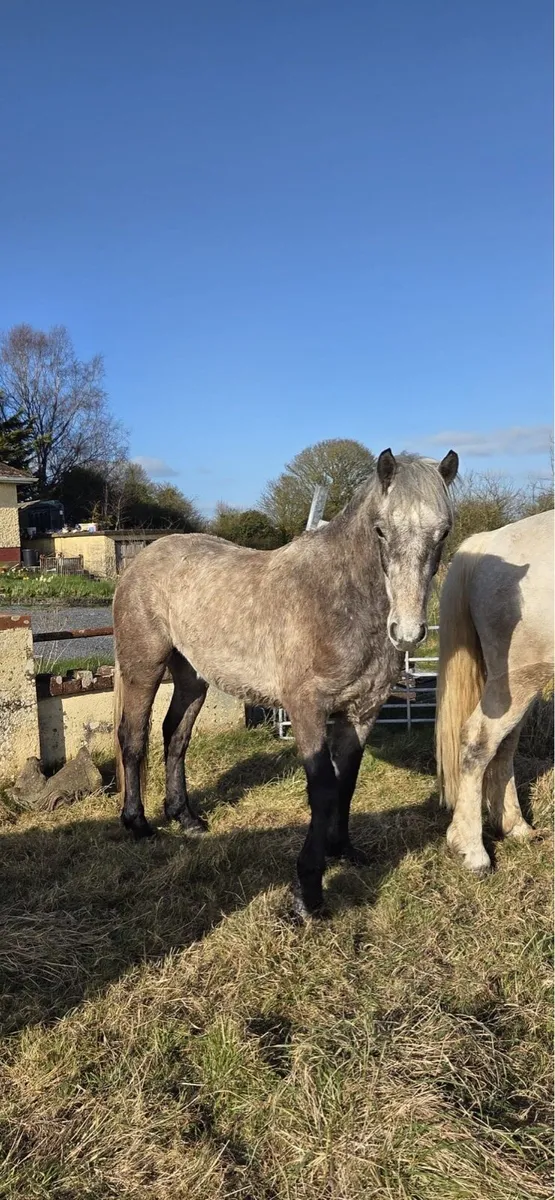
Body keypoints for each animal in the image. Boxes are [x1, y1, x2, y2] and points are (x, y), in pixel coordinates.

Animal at [113, 447, 458, 918]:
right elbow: (323, 789)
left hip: (193, 677)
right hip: (144, 669)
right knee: (133, 738)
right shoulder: (307, 709)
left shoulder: (362, 712)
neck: (337, 601)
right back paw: (137, 823)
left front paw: (342, 850)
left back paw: (185, 818)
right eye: (381, 530)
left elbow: (346, 783)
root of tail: (142, 559)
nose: (406, 632)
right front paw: (308, 892)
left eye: (443, 531)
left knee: (175, 735)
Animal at [435, 508, 554, 875]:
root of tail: (489, 542)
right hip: (518, 677)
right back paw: (473, 851)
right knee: (480, 741)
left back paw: (515, 827)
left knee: (504, 745)